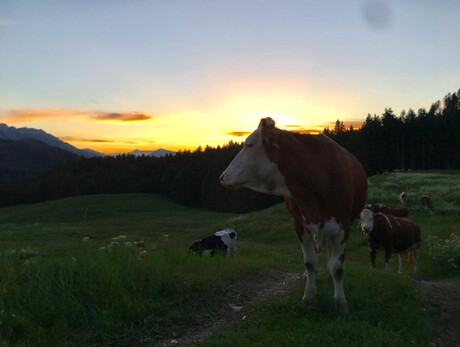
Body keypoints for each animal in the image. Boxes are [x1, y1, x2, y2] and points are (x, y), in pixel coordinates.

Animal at [221, 118, 368, 312]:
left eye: (249, 144)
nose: (223, 176)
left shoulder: (343, 225)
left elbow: (337, 267)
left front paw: (340, 303)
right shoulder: (300, 224)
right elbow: (310, 263)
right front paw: (309, 296)